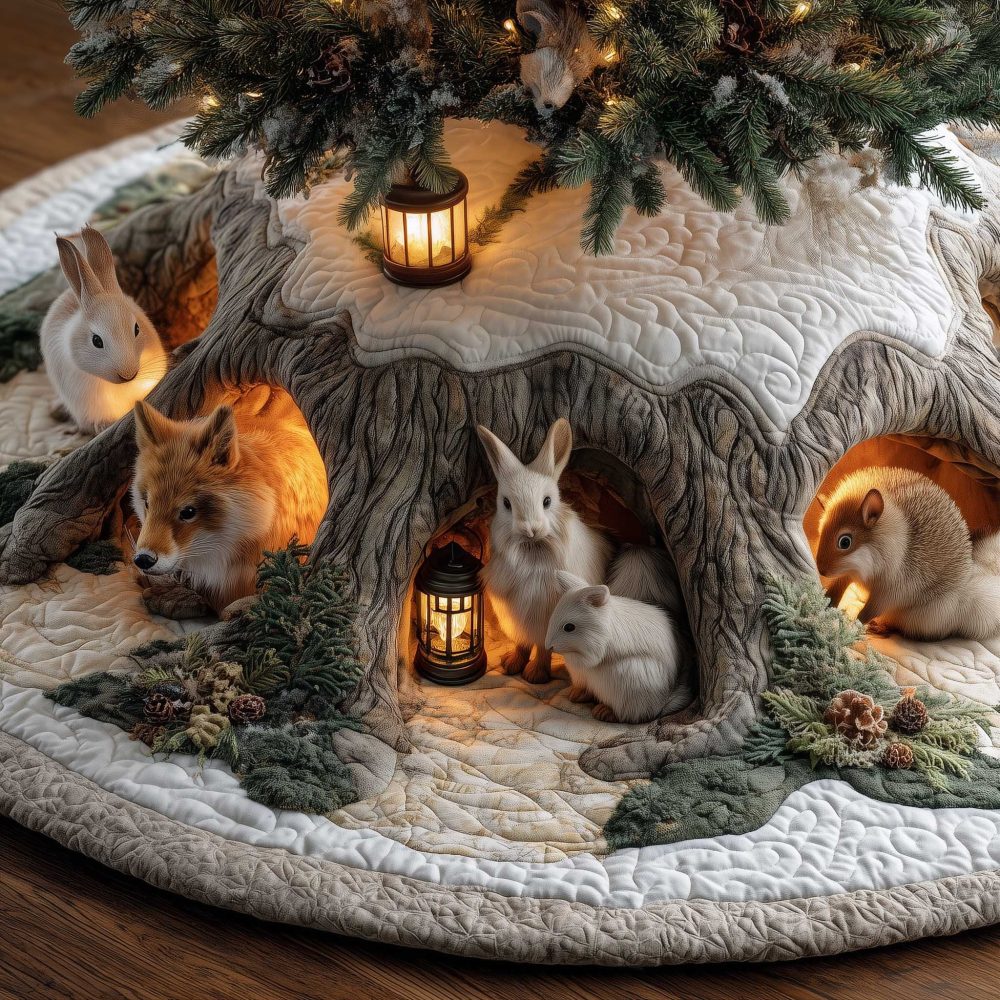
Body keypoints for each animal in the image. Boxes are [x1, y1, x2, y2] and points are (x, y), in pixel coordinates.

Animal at [477, 417, 613, 683]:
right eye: (506, 503)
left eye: (547, 501)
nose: (530, 529)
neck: (533, 553)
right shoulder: (520, 621)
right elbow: (522, 644)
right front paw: (511, 664)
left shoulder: (545, 620)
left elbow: (543, 648)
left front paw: (535, 675)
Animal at [545, 570, 694, 723]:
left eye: (569, 627)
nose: (548, 646)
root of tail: (662, 703)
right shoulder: (580, 675)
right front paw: (574, 694)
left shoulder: (592, 655)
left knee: (630, 715)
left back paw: (604, 712)